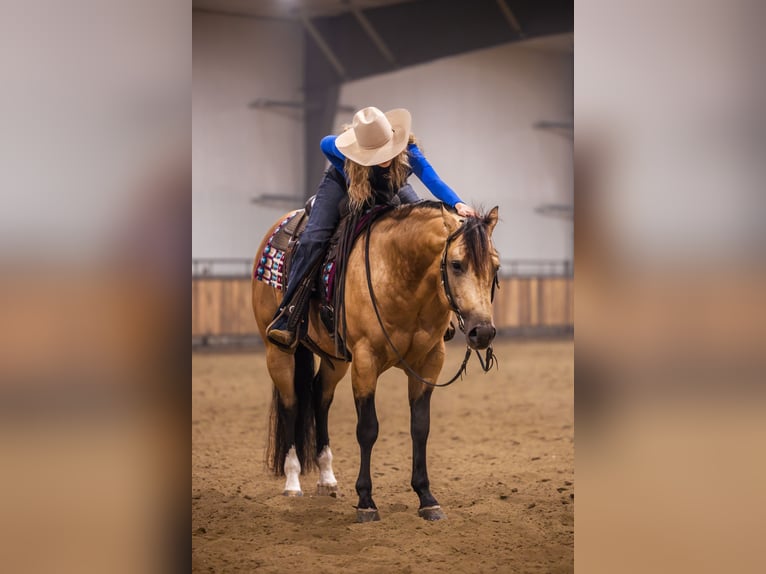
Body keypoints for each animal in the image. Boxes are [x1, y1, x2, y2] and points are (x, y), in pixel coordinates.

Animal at [251, 201, 499, 522]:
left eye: (496, 267)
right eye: (456, 264)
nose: (483, 332)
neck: (400, 275)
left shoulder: (429, 362)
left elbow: (420, 427)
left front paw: (426, 498)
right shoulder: (365, 361)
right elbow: (368, 429)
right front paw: (366, 501)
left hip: (336, 359)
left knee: (320, 397)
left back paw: (327, 479)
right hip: (278, 351)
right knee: (291, 403)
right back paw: (292, 481)